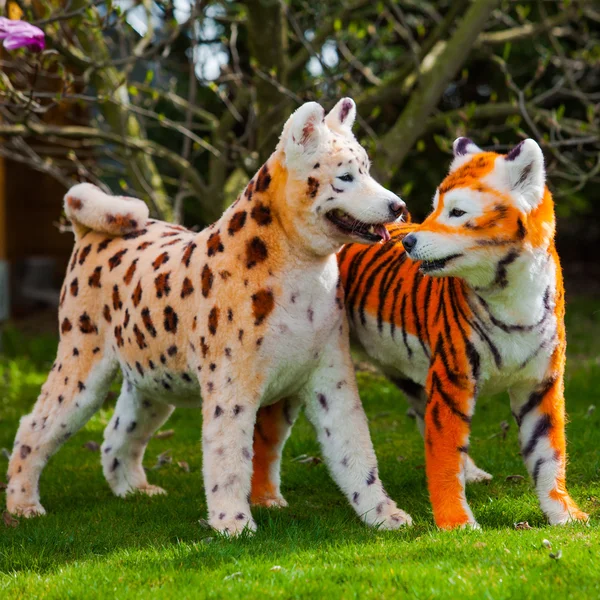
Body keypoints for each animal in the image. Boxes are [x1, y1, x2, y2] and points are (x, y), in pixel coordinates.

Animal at [5, 98, 412, 536]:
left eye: (367, 169)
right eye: (346, 176)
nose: (399, 206)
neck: (304, 272)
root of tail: (89, 234)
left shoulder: (332, 379)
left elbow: (355, 451)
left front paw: (383, 514)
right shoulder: (231, 386)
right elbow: (228, 457)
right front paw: (232, 524)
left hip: (149, 386)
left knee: (117, 434)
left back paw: (135, 490)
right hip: (80, 371)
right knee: (33, 426)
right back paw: (22, 504)